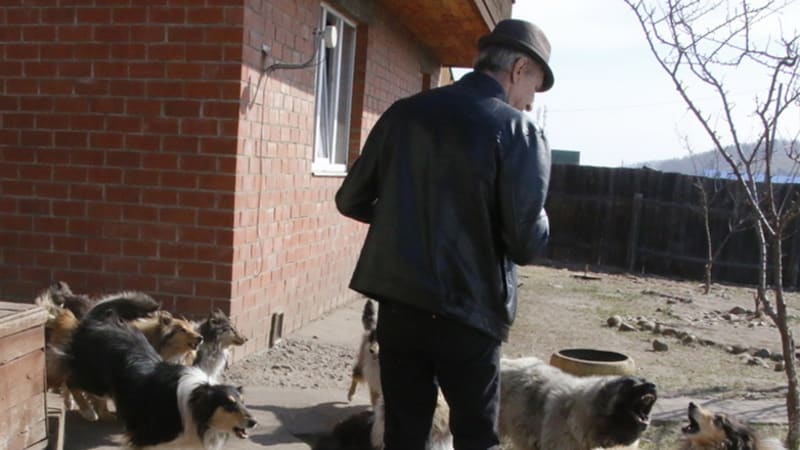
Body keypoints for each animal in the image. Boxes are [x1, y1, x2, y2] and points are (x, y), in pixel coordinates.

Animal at [65, 294, 256, 449]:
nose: (254, 422)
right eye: (229, 405)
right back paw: (87, 411)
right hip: (95, 381)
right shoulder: (145, 438)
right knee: (71, 382)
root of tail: (97, 321)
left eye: (243, 403)